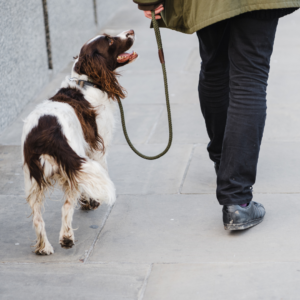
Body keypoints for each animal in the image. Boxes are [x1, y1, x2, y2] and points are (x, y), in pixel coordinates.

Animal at [21, 29, 138, 255]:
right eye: (109, 41)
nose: (131, 31)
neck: (86, 81)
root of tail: (45, 135)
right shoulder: (96, 147)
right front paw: (91, 201)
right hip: (71, 162)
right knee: (66, 206)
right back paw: (66, 238)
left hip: (33, 180)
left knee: (38, 217)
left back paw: (43, 247)